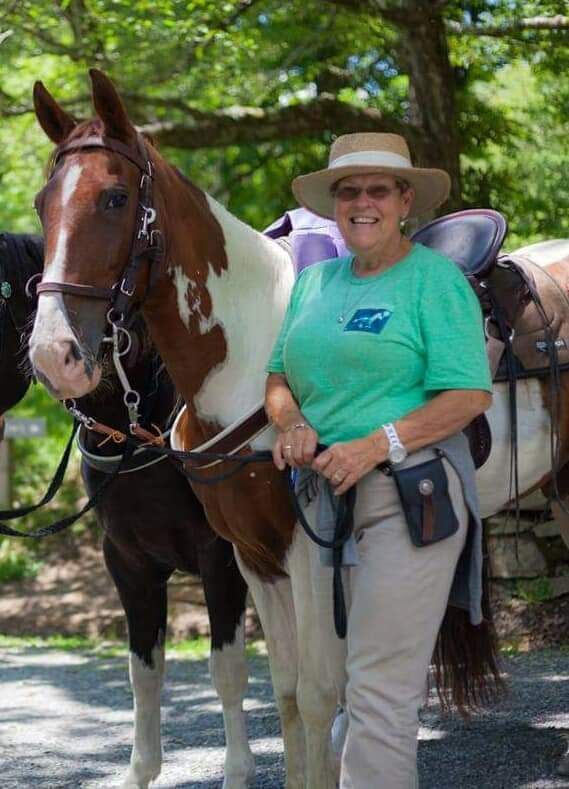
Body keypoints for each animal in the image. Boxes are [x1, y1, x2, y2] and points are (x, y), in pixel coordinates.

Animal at [0, 233, 257, 789]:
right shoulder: (128, 562)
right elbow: (144, 672)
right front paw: (141, 770)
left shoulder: (221, 556)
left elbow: (227, 670)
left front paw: (238, 771)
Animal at [27, 69, 569, 785]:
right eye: (42, 204)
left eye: (115, 198)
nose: (52, 354)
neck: (253, 353)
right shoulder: (251, 556)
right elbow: (283, 690)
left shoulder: (307, 551)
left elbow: (316, 691)